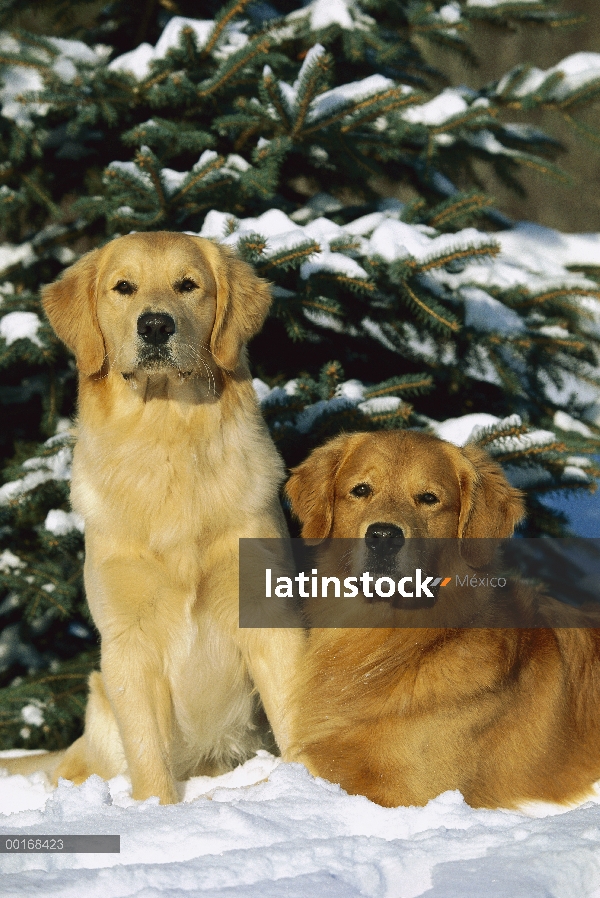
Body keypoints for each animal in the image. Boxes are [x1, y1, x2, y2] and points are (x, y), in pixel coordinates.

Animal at [8, 233, 308, 804]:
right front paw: (156, 811)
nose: (154, 325)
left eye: (187, 285)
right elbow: (148, 755)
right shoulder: (126, 638)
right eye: (123, 287)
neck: (165, 438)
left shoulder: (268, 613)